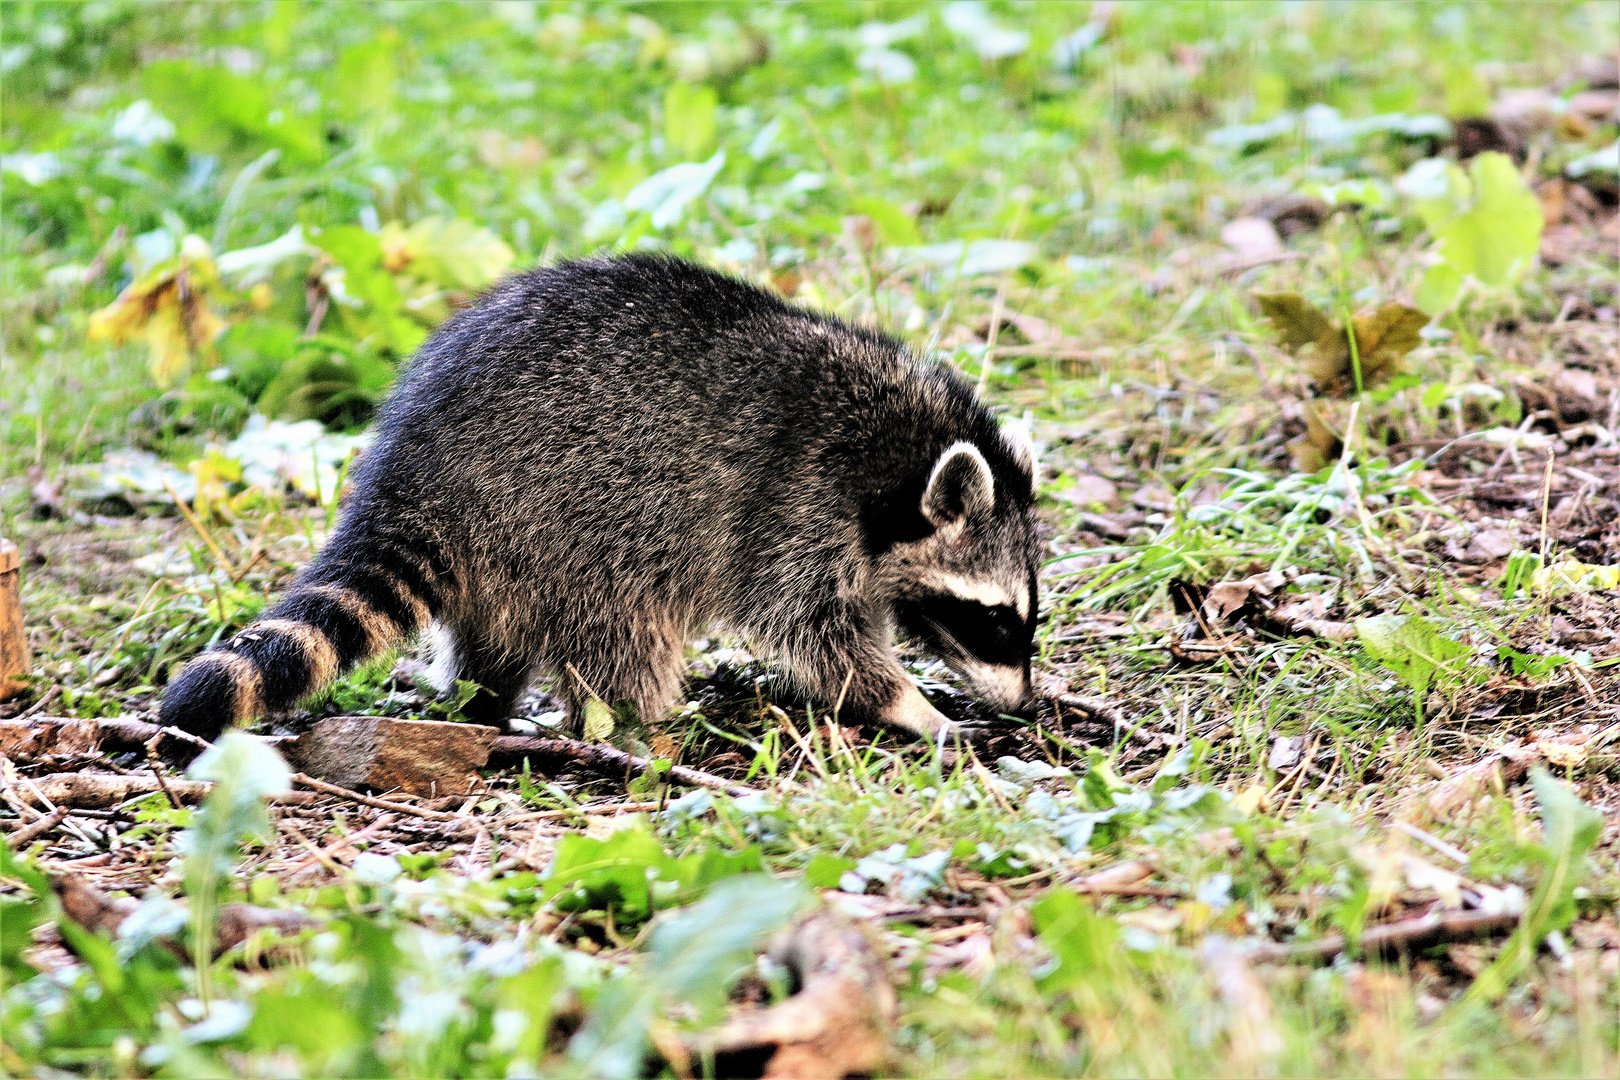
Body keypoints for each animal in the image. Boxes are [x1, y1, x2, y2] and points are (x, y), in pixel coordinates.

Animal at [161, 255, 1036, 744]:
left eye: (1024, 617)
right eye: (993, 618)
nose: (1024, 705)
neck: (897, 453)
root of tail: (407, 476)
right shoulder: (795, 509)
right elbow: (821, 637)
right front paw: (906, 703)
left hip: (513, 547)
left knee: (494, 634)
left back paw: (485, 702)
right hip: (583, 519)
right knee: (623, 632)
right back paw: (637, 725)